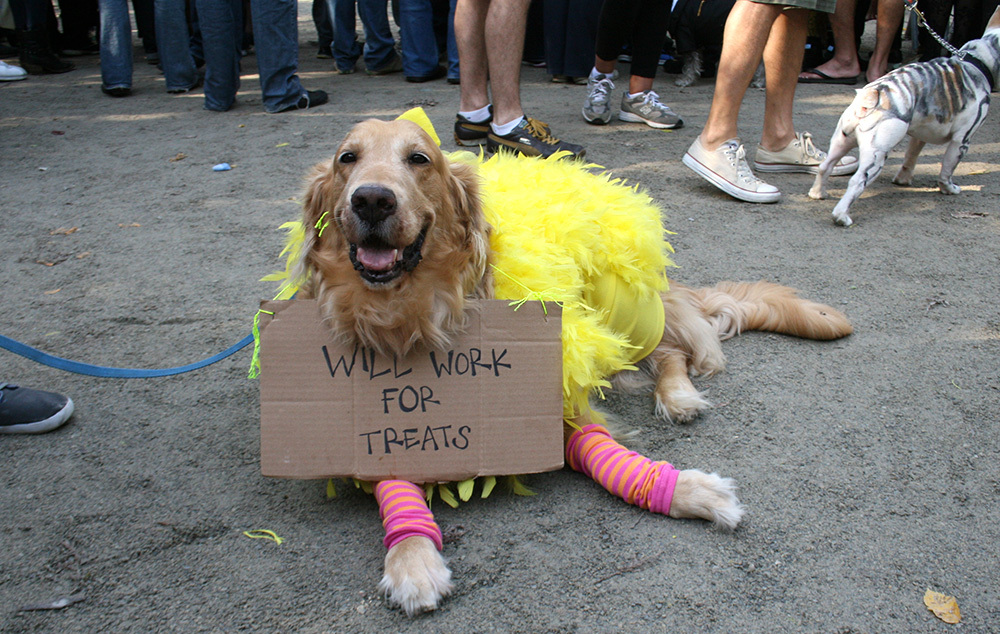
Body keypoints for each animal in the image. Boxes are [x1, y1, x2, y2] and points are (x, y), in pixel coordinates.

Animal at [292, 117, 856, 612]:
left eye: (419, 159)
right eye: (347, 159)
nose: (371, 199)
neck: (412, 312)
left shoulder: (558, 378)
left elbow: (604, 450)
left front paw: (684, 489)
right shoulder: (387, 420)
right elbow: (396, 483)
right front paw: (412, 561)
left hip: (620, 311)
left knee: (671, 351)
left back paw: (679, 396)